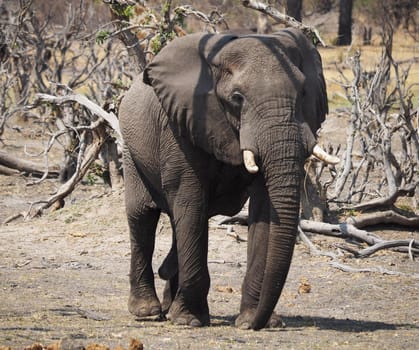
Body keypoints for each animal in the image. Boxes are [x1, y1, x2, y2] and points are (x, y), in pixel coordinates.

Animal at [118, 28, 338, 330]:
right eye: (237, 98)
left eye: (303, 92)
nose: (255, 324)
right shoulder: (182, 124)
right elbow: (190, 202)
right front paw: (188, 320)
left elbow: (265, 210)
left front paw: (255, 321)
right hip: (131, 148)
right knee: (143, 216)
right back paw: (148, 311)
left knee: (178, 221)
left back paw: (167, 299)